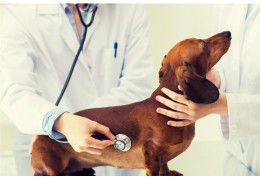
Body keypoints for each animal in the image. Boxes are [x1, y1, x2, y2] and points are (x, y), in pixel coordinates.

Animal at [31, 31, 232, 176]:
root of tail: (40, 137)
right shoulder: (152, 155)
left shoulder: (163, 159)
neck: (163, 110)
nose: (228, 33)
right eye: (204, 45)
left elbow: (166, 166)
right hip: (51, 168)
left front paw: (170, 173)